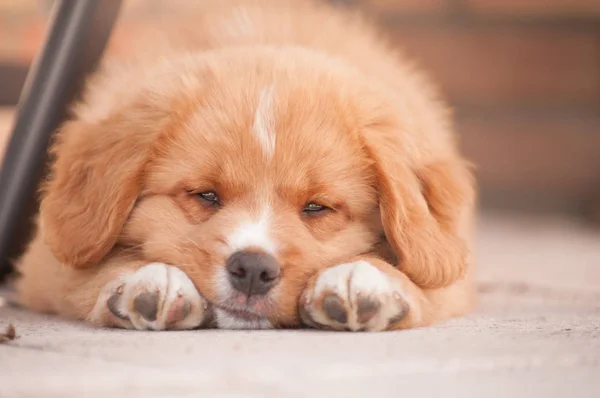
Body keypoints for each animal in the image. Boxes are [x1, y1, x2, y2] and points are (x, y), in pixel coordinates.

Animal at [15, 0, 478, 332]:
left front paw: (363, 279)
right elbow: (92, 269)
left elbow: (419, 278)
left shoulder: (452, 270)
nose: (253, 270)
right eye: (205, 195)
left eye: (317, 207)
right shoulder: (47, 262)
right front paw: (149, 278)